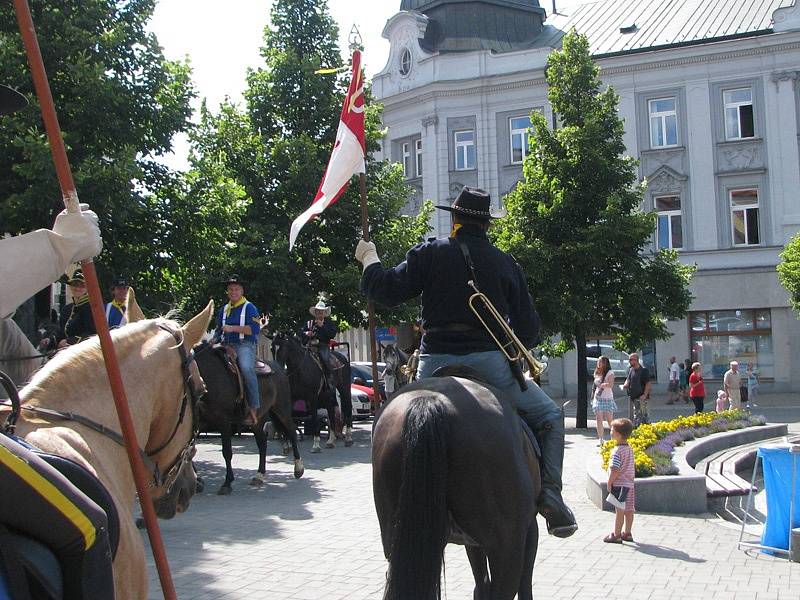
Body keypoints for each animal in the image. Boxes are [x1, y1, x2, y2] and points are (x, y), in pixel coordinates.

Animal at [195, 340, 306, 494]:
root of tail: (280, 369)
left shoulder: (223, 421)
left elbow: (226, 451)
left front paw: (227, 483)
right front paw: (196, 481)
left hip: (281, 410)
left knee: (291, 431)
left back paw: (298, 468)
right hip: (256, 420)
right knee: (262, 443)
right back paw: (259, 475)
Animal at [372, 376, 540, 600]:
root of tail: (430, 402)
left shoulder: (474, 541)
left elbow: (480, 578)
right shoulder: (529, 529)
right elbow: (524, 584)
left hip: (405, 543)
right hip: (508, 546)